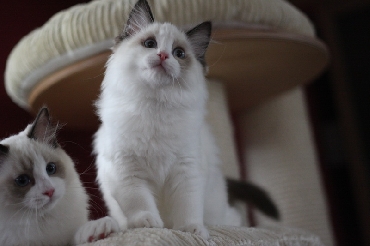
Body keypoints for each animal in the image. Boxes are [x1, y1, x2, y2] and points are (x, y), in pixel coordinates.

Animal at [0, 108, 118, 246]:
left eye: (50, 168)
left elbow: (77, 236)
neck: (42, 220)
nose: (50, 191)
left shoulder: (67, 240)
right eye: (22, 180)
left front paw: (98, 229)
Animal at [94, 0, 241, 239]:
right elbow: (140, 203)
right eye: (150, 44)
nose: (163, 55)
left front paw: (192, 230)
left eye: (179, 53)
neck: (155, 108)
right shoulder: (127, 171)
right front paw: (149, 224)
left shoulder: (186, 170)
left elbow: (188, 206)